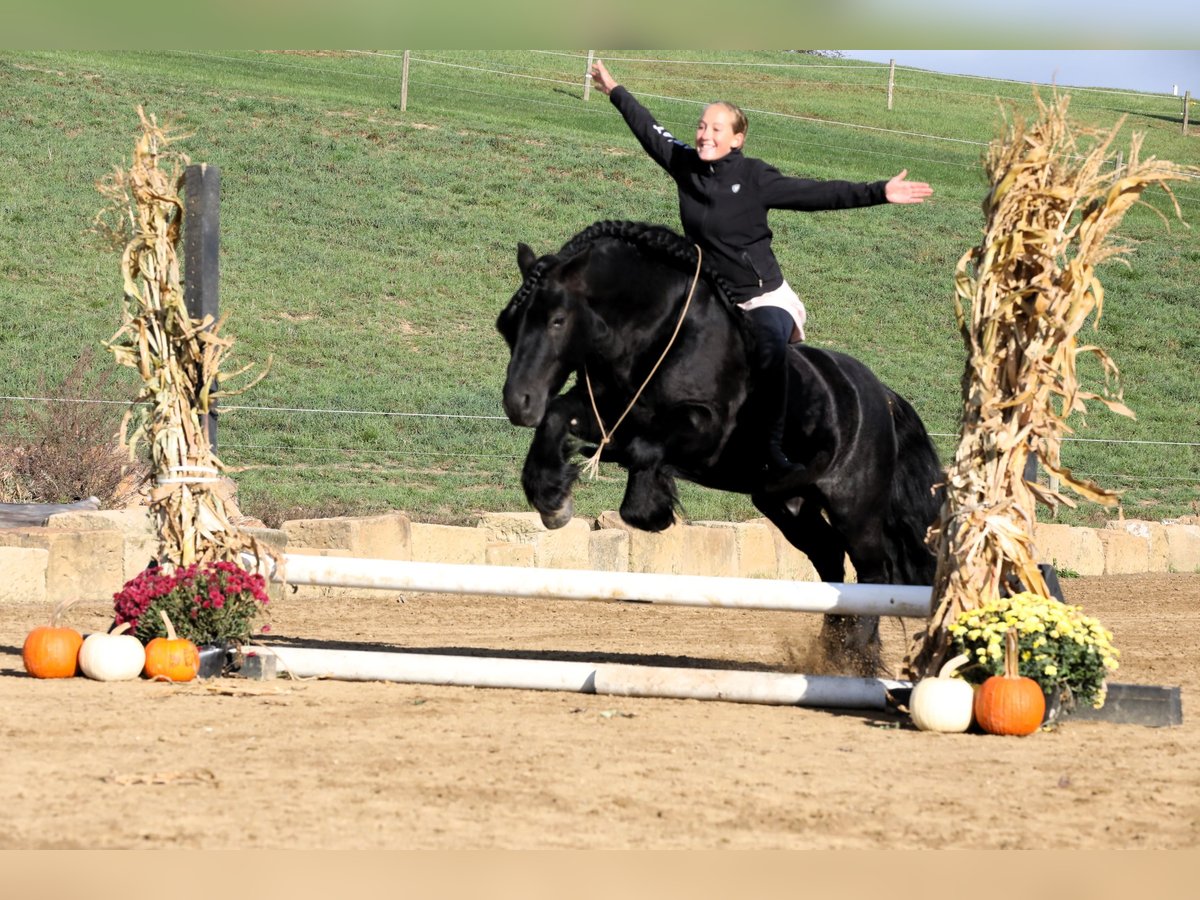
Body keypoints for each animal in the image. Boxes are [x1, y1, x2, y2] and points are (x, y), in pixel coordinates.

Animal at [492, 220, 940, 672]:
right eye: (506, 326)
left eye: (557, 320)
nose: (518, 403)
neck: (658, 335)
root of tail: (880, 394)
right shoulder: (604, 411)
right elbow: (561, 417)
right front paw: (552, 499)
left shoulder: (704, 431)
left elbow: (643, 453)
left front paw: (650, 509)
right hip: (786, 503)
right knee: (830, 557)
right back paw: (833, 651)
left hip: (855, 507)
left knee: (874, 572)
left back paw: (852, 657)